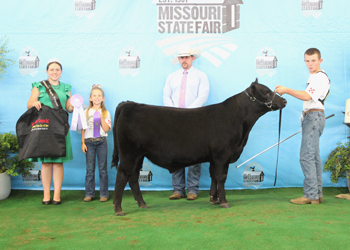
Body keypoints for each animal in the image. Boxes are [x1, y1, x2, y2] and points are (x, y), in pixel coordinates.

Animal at [112, 79, 288, 216]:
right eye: (265, 92)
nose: (284, 101)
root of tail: (128, 104)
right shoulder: (223, 155)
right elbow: (221, 177)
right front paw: (224, 201)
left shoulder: (214, 158)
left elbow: (213, 176)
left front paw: (214, 199)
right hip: (129, 153)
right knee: (122, 175)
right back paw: (118, 208)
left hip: (139, 155)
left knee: (133, 176)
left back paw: (142, 204)